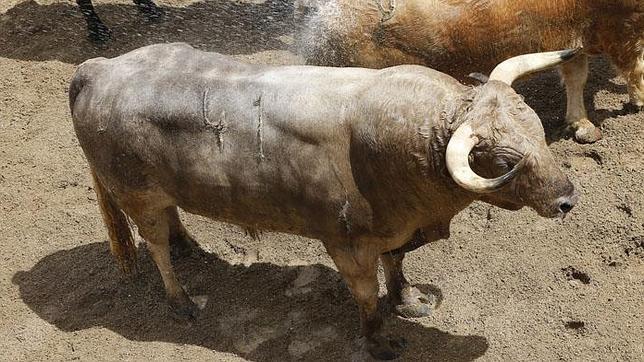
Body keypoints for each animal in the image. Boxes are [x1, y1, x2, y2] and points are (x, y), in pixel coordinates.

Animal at [70, 42, 580, 360]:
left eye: (538, 129)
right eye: (504, 159)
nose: (567, 198)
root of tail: (98, 68)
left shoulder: (394, 229)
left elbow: (395, 266)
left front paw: (408, 299)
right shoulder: (348, 244)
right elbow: (367, 295)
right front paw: (379, 343)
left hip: (161, 192)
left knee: (172, 220)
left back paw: (190, 247)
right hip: (138, 195)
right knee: (155, 245)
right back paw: (181, 302)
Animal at [300, 0, 644, 144]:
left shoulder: (575, 37)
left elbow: (575, 76)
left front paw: (580, 123)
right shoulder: (622, 26)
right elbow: (635, 67)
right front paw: (638, 101)